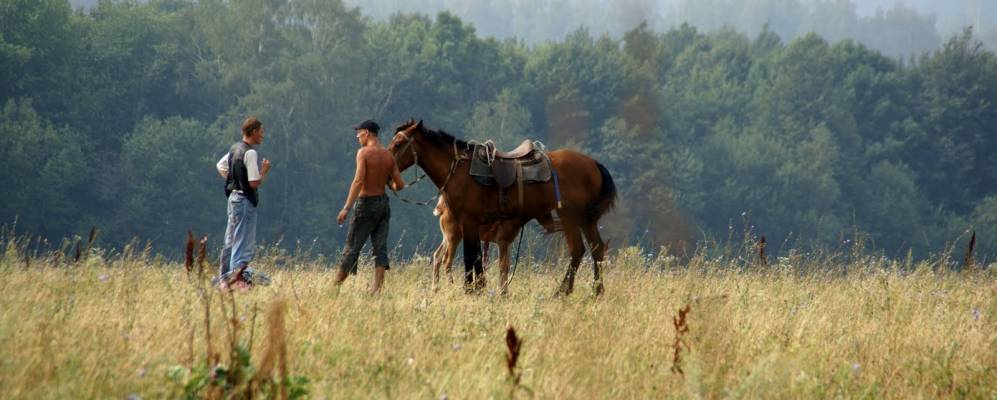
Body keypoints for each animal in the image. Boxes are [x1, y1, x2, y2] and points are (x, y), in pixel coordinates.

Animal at [390, 120, 616, 296]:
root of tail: (594, 164)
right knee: (596, 248)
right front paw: (479, 288)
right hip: (586, 219)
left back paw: (563, 291)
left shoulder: (469, 221)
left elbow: (472, 257)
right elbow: (478, 258)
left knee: (578, 249)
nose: (386, 165)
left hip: (570, 215)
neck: (458, 171)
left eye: (399, 143)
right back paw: (595, 291)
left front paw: (472, 289)